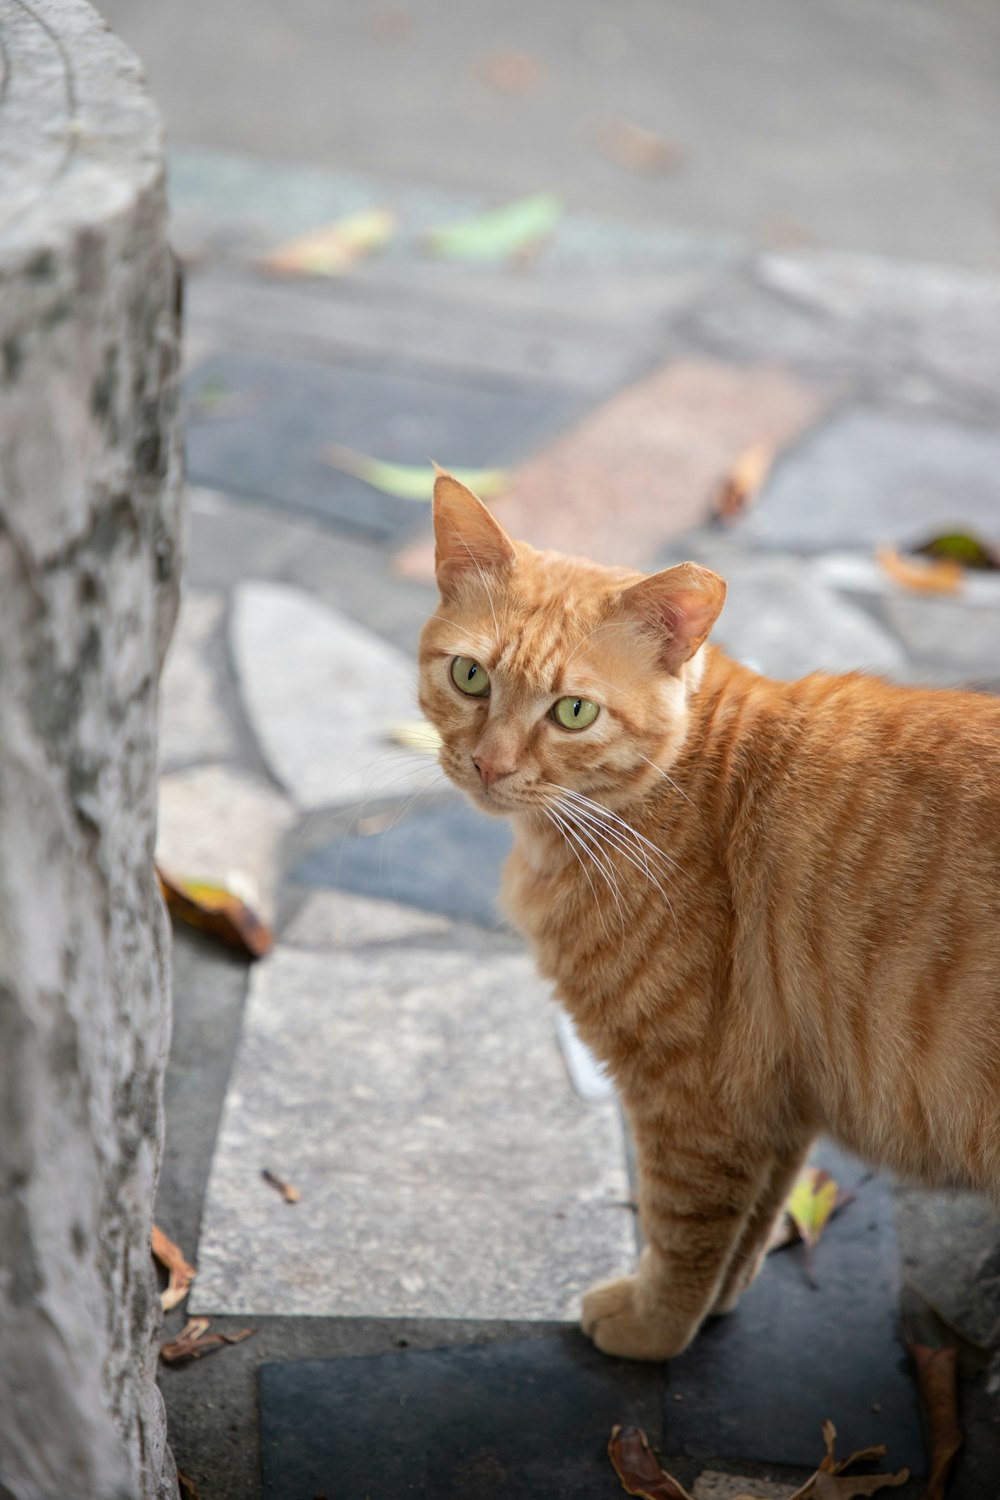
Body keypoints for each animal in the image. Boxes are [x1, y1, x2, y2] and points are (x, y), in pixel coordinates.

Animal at [419, 471, 1000, 1362]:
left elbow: (683, 1229)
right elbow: (751, 1219)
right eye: (471, 677)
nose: (488, 764)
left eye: (573, 713)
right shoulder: (778, 1099)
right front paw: (718, 1304)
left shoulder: (696, 1096)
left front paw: (654, 1327)